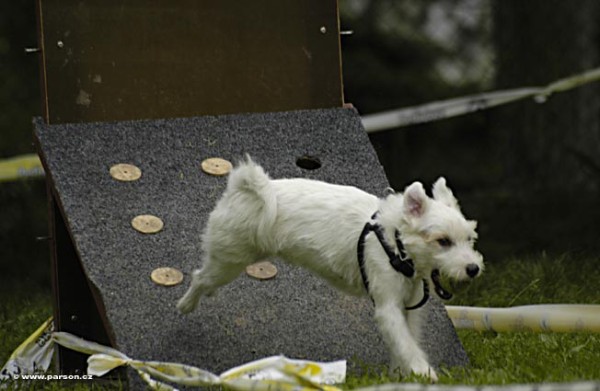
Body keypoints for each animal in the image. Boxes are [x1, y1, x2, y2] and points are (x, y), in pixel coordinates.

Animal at [177, 157, 482, 382]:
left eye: (470, 239)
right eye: (443, 241)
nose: (473, 268)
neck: (396, 243)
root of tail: (241, 187)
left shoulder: (410, 308)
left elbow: (406, 342)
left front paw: (402, 374)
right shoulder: (388, 307)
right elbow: (406, 343)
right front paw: (424, 373)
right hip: (230, 259)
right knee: (200, 277)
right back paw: (186, 304)